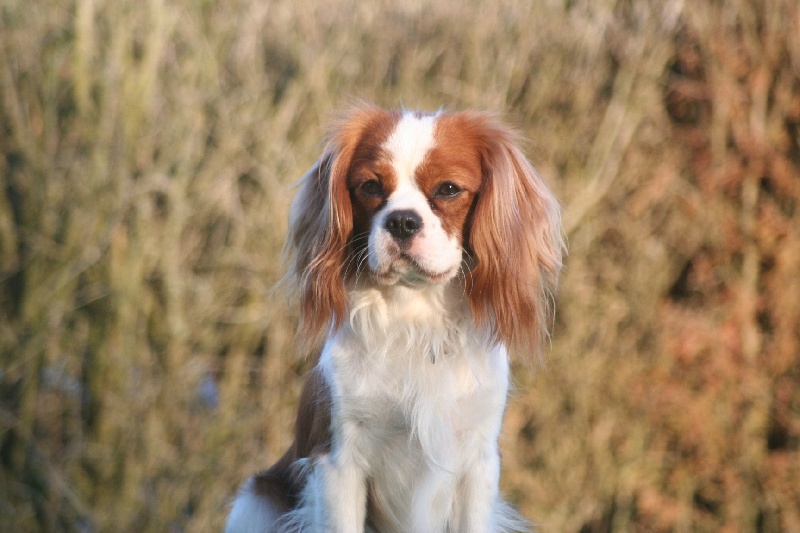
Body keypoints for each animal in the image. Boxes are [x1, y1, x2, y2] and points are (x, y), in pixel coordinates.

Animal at [225, 105, 564, 532]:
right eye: (370, 186)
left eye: (448, 189)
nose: (402, 220)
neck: (415, 320)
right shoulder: (338, 463)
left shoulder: (478, 462)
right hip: (255, 500)